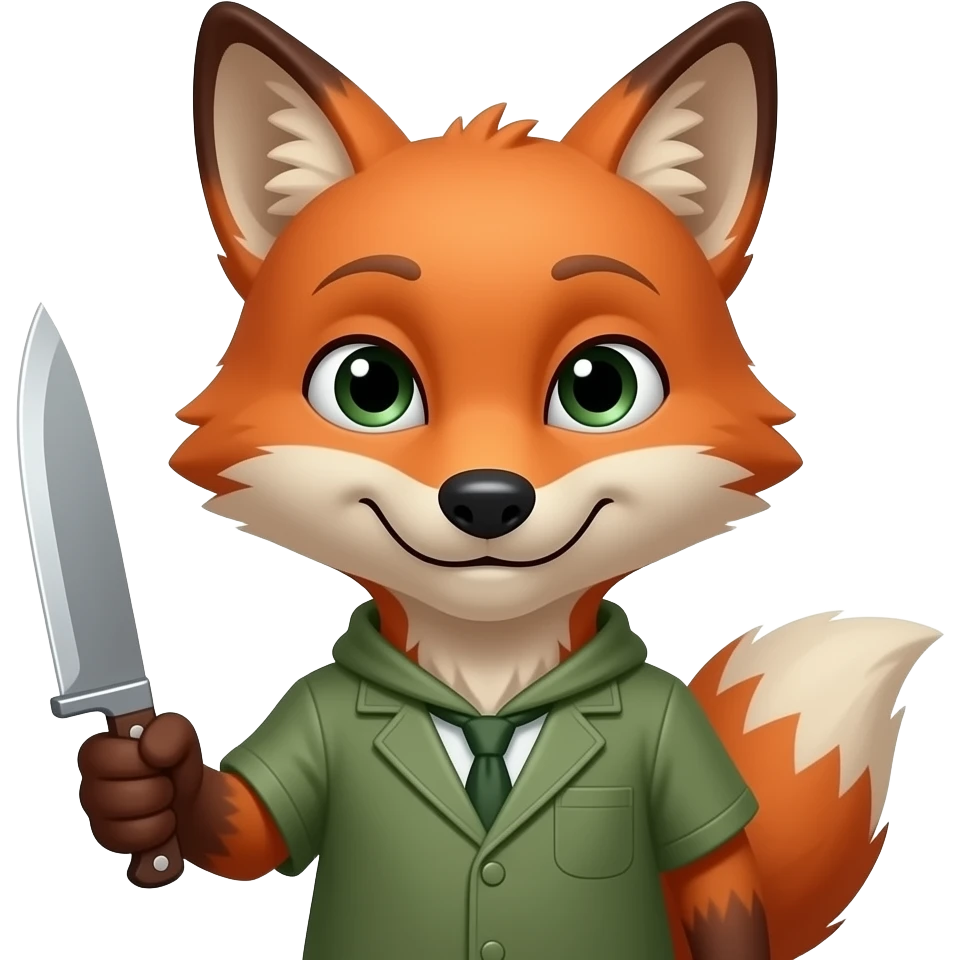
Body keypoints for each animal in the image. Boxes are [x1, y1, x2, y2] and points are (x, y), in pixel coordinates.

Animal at [71, 3, 944, 960]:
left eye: (600, 386)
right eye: (367, 385)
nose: (487, 499)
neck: (488, 680)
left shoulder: (677, 739)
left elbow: (719, 878)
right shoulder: (314, 715)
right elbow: (251, 826)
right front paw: (141, 787)